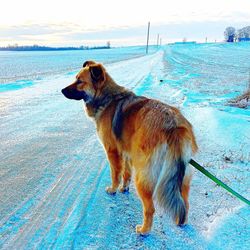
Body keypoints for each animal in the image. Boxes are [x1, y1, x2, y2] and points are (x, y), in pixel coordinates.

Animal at [62, 60, 197, 234]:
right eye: (75, 78)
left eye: (80, 81)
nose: (61, 90)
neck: (106, 97)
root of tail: (174, 126)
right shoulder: (126, 152)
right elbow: (126, 173)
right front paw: (124, 188)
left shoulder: (112, 151)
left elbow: (115, 174)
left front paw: (113, 189)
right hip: (183, 176)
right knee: (185, 203)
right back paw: (181, 222)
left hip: (144, 176)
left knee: (150, 208)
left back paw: (144, 230)